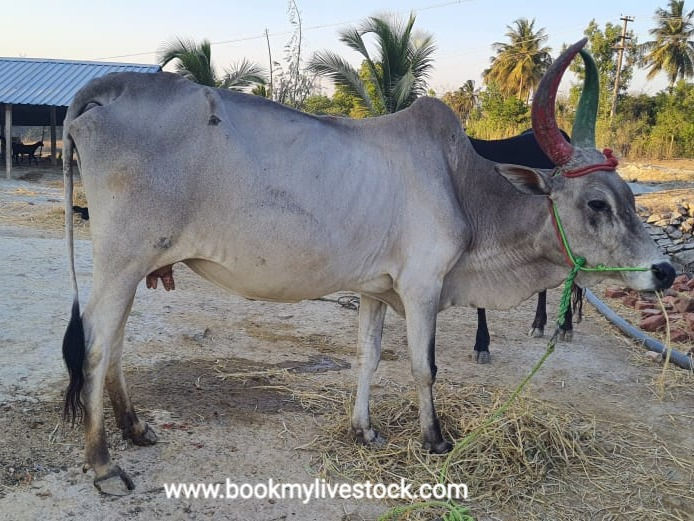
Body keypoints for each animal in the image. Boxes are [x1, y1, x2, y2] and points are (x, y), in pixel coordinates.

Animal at [61, 39, 674, 494]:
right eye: (597, 203)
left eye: (632, 197)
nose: (665, 272)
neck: (464, 187)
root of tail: (104, 88)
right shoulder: (423, 287)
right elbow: (425, 367)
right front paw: (435, 439)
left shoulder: (376, 290)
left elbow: (369, 356)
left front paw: (364, 429)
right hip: (121, 258)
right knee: (95, 344)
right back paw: (103, 463)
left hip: (134, 264)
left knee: (114, 342)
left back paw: (135, 428)